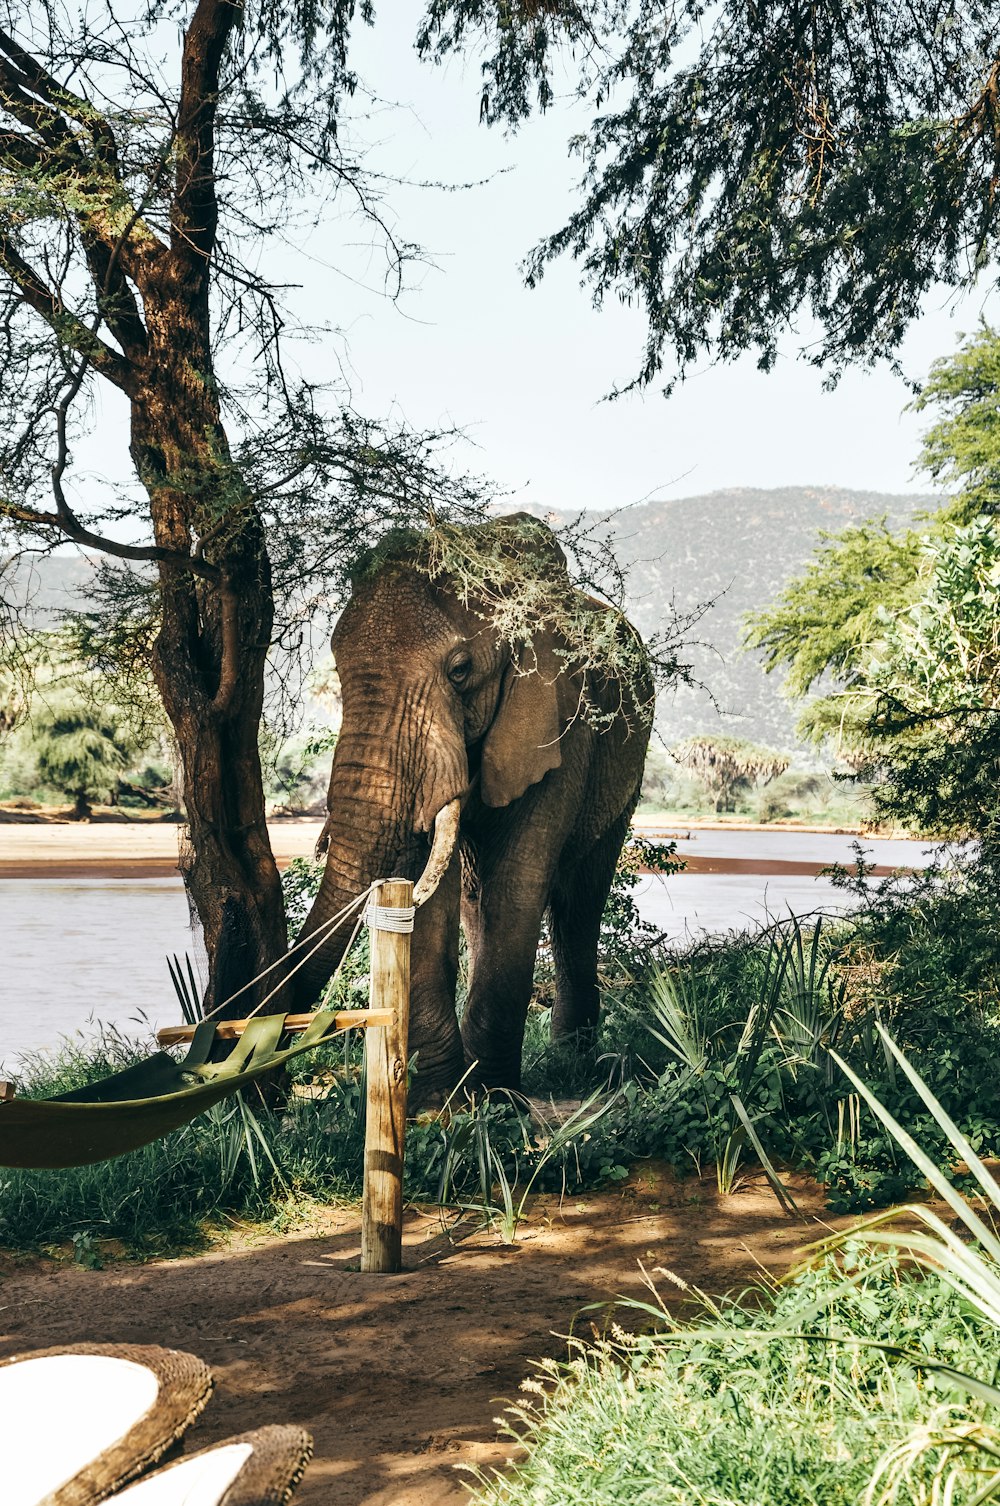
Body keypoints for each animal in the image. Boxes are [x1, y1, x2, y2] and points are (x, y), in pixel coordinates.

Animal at [289, 512, 653, 1102]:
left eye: (459, 671)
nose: (263, 1093)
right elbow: (431, 899)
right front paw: (442, 1103)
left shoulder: (560, 724)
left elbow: (517, 884)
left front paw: (495, 1101)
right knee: (477, 898)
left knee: (578, 900)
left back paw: (573, 1063)